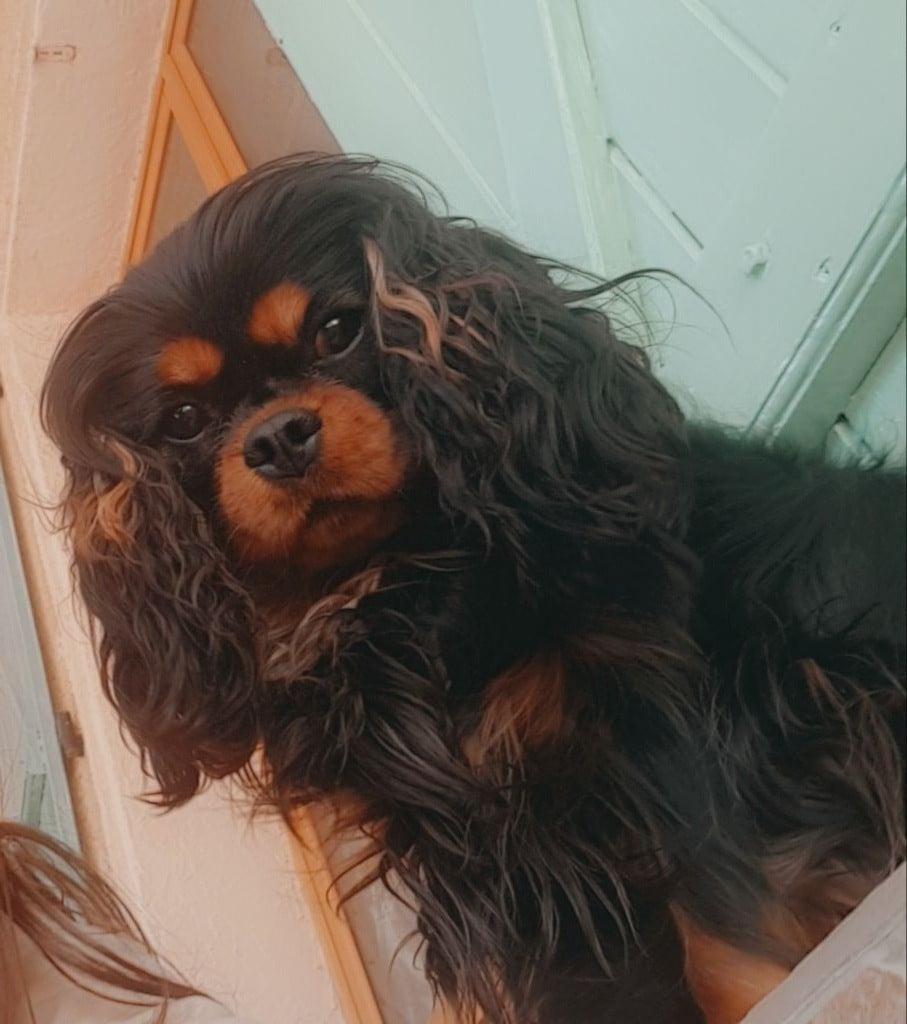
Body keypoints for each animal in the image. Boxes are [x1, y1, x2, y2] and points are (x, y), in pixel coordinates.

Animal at [42, 155, 905, 1023]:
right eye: (184, 419)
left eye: (337, 330)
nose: (276, 438)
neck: (397, 588)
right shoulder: (488, 862)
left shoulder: (662, 732)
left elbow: (728, 934)